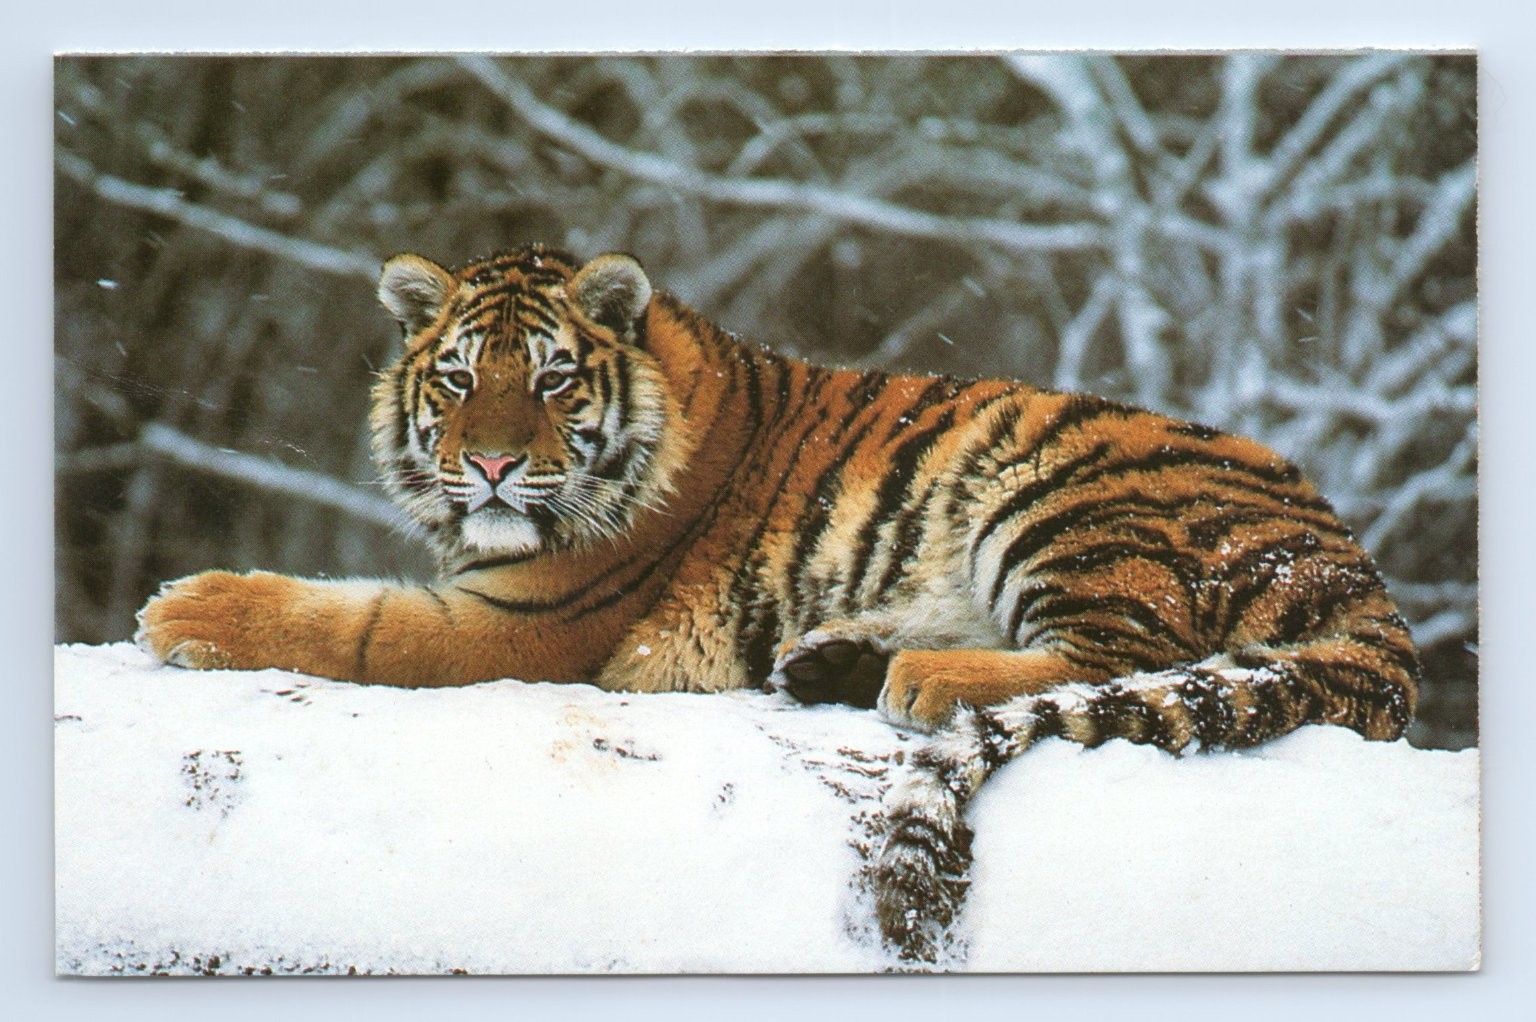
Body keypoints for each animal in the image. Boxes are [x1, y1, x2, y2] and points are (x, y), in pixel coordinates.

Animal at [136, 244, 1418, 964]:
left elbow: (352, 621)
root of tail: (1356, 566)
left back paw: (915, 677)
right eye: (455, 378)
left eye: (551, 378)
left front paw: (185, 608)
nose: (491, 465)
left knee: (1114, 654)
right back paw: (827, 659)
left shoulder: (527, 617)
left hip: (1065, 496)